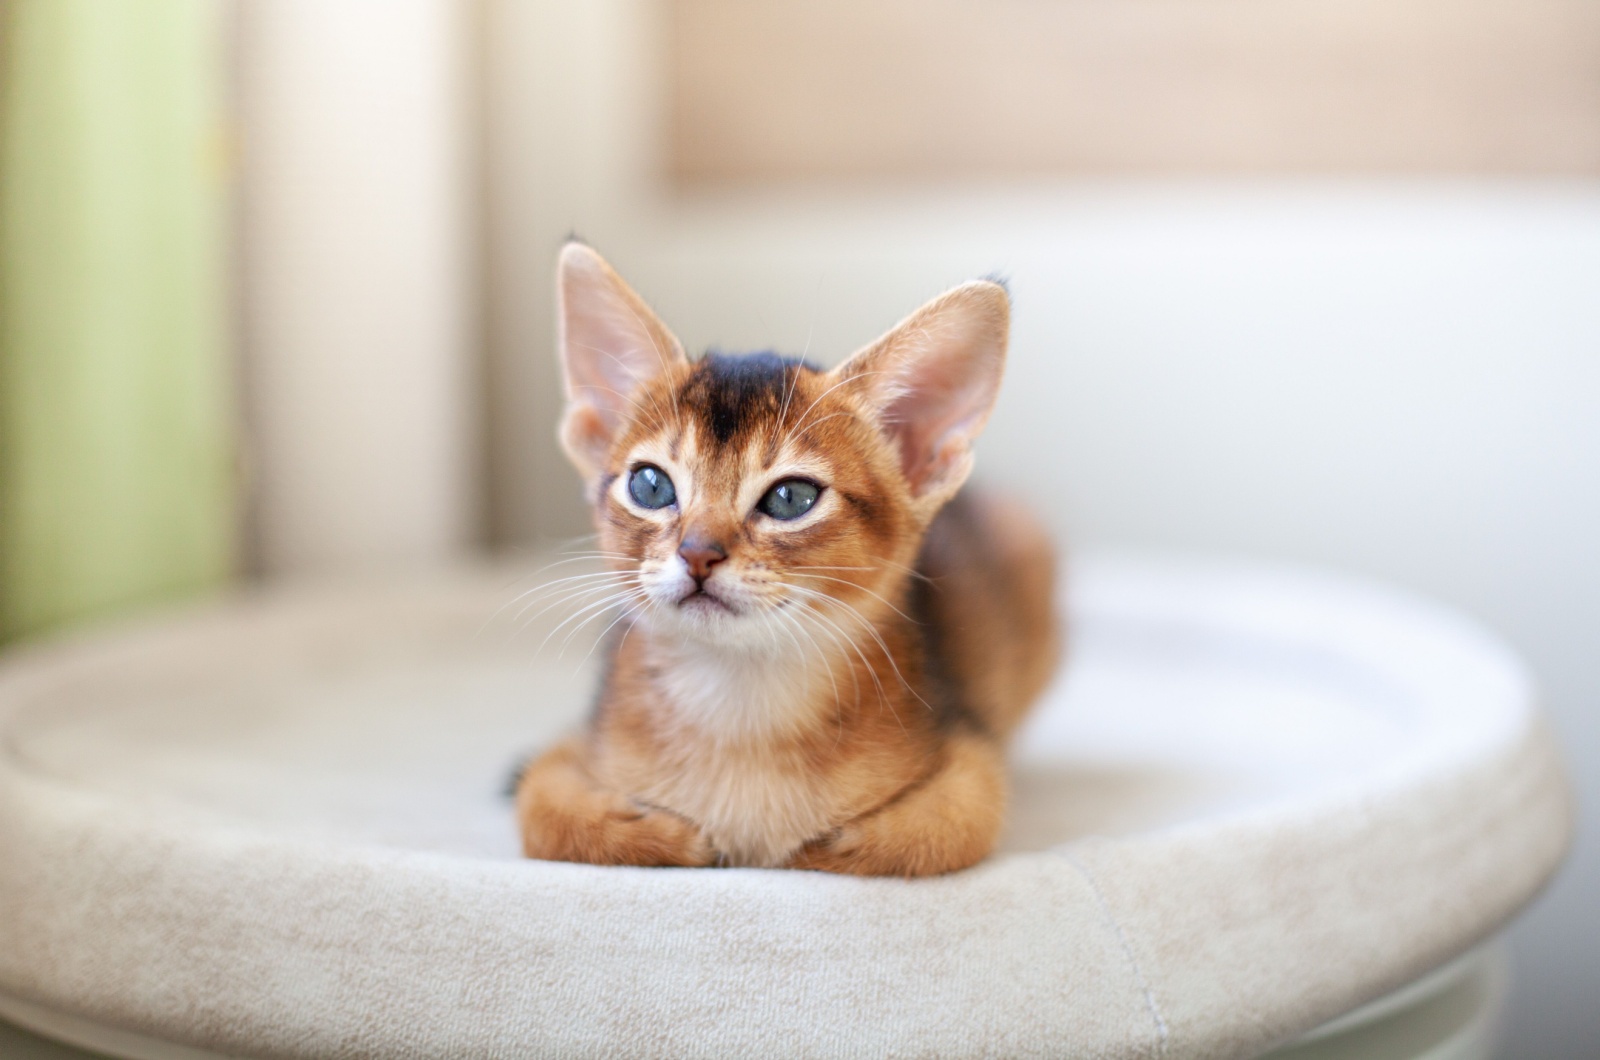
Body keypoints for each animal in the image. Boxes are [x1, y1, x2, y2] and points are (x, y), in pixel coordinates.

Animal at [515, 246, 1062, 877]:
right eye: (650, 486)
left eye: (791, 498)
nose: (698, 553)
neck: (740, 707)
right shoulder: (567, 755)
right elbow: (547, 820)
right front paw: (676, 839)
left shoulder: (972, 769)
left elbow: (922, 838)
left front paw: (806, 847)